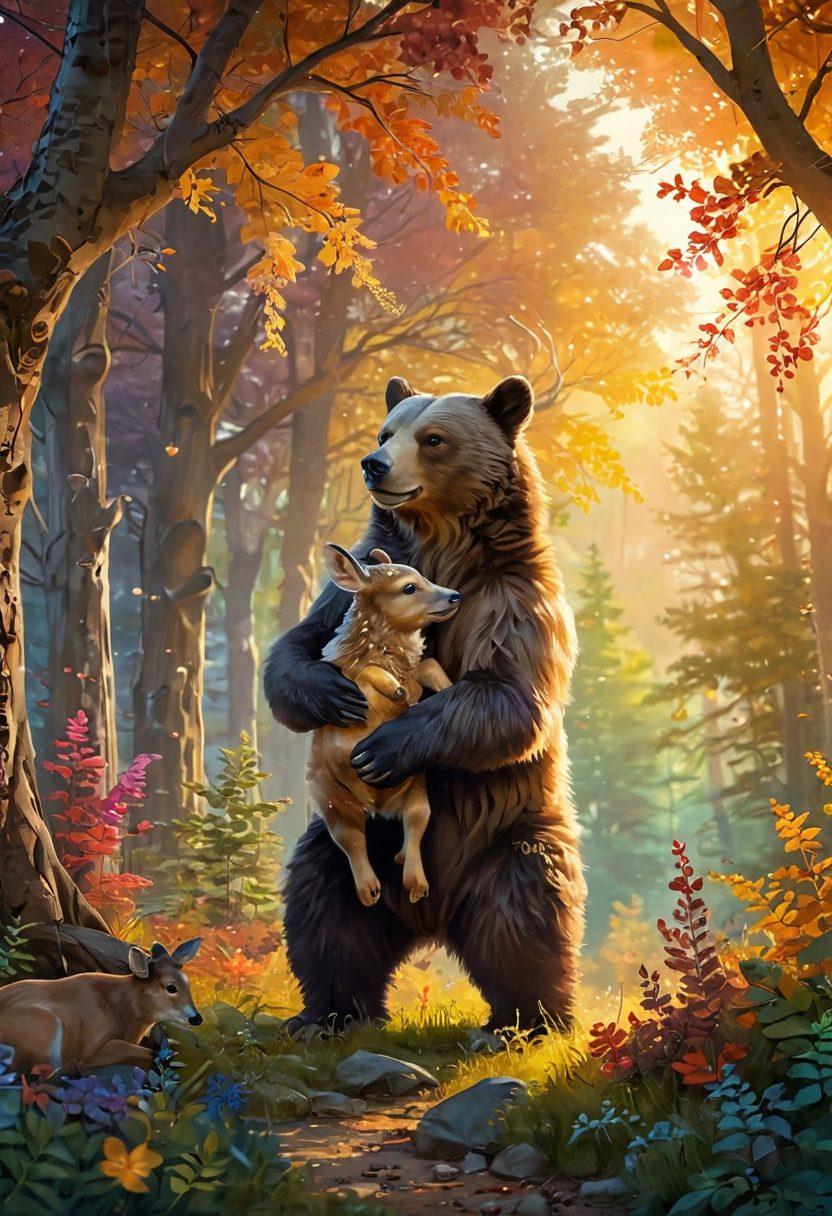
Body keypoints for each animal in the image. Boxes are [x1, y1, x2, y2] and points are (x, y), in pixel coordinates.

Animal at [0, 938, 203, 1074]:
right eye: (171, 987)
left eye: (188, 983)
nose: (197, 1018)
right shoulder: (91, 1050)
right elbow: (148, 1054)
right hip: (46, 1028)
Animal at [308, 544, 460, 907]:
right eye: (409, 588)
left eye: (423, 577)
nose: (454, 596)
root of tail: (376, 807)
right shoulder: (354, 681)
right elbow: (365, 675)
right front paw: (394, 689)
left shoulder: (416, 675)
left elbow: (428, 665)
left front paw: (444, 686)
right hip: (335, 802)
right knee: (352, 842)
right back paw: (369, 890)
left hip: (416, 787)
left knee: (416, 823)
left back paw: (415, 878)